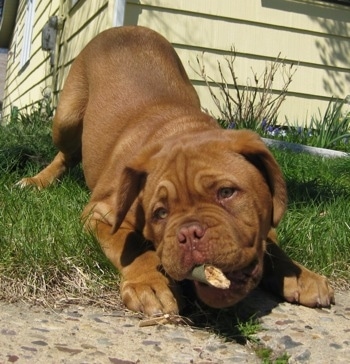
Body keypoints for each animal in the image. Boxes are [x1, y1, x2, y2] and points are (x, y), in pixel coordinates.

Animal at [18, 26, 334, 316]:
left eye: (226, 193)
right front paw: (150, 283)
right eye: (160, 212)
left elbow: (271, 246)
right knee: (67, 153)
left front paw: (298, 273)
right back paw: (37, 181)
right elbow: (133, 247)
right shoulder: (101, 213)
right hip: (67, 118)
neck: (182, 131)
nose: (190, 234)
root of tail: (125, 27)